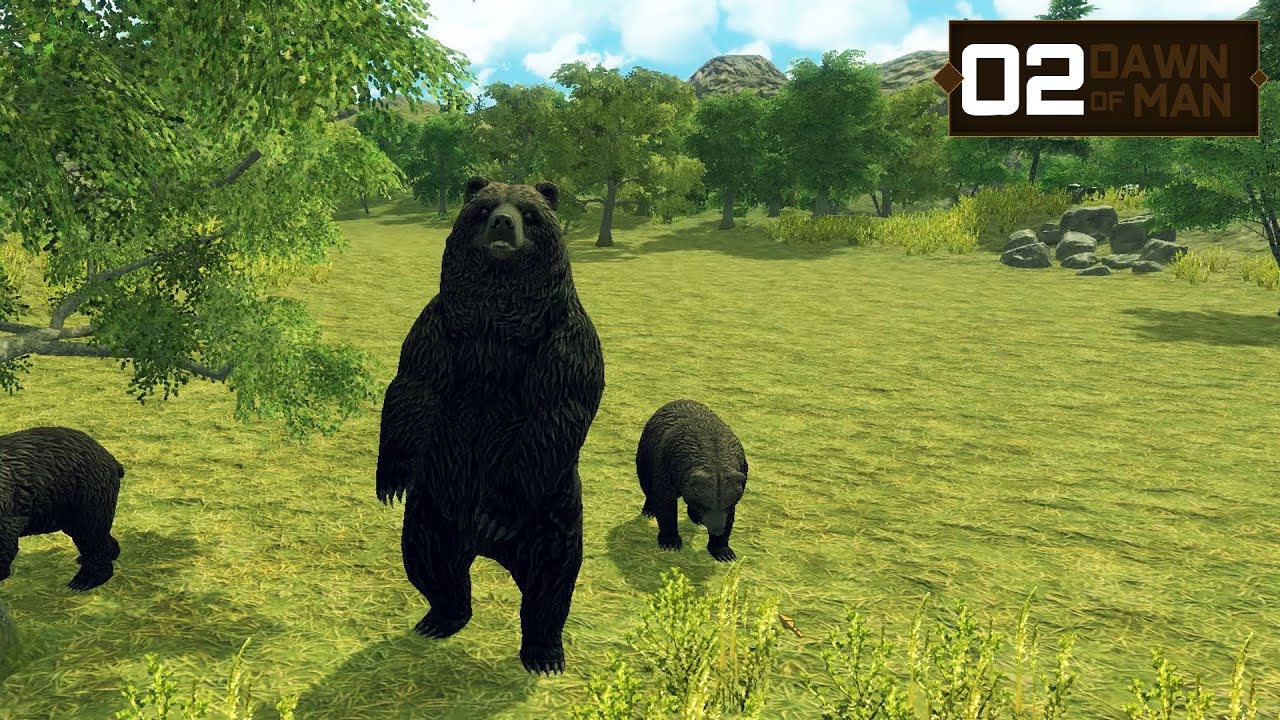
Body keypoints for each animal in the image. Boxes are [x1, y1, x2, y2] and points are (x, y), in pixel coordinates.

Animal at [376, 176, 605, 675]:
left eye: (530, 213)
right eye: (483, 209)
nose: (503, 223)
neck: (497, 319)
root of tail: (485, 549)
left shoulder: (564, 340)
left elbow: (553, 414)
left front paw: (497, 509)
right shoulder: (441, 327)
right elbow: (414, 386)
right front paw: (391, 477)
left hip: (551, 515)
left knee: (550, 583)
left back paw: (544, 652)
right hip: (434, 507)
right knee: (428, 561)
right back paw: (440, 617)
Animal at [635, 399, 748, 562]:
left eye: (727, 504)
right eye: (706, 505)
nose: (717, 530)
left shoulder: (740, 473)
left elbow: (730, 515)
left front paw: (723, 551)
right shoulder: (667, 465)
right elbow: (665, 501)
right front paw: (670, 542)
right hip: (646, 453)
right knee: (647, 484)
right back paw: (649, 510)